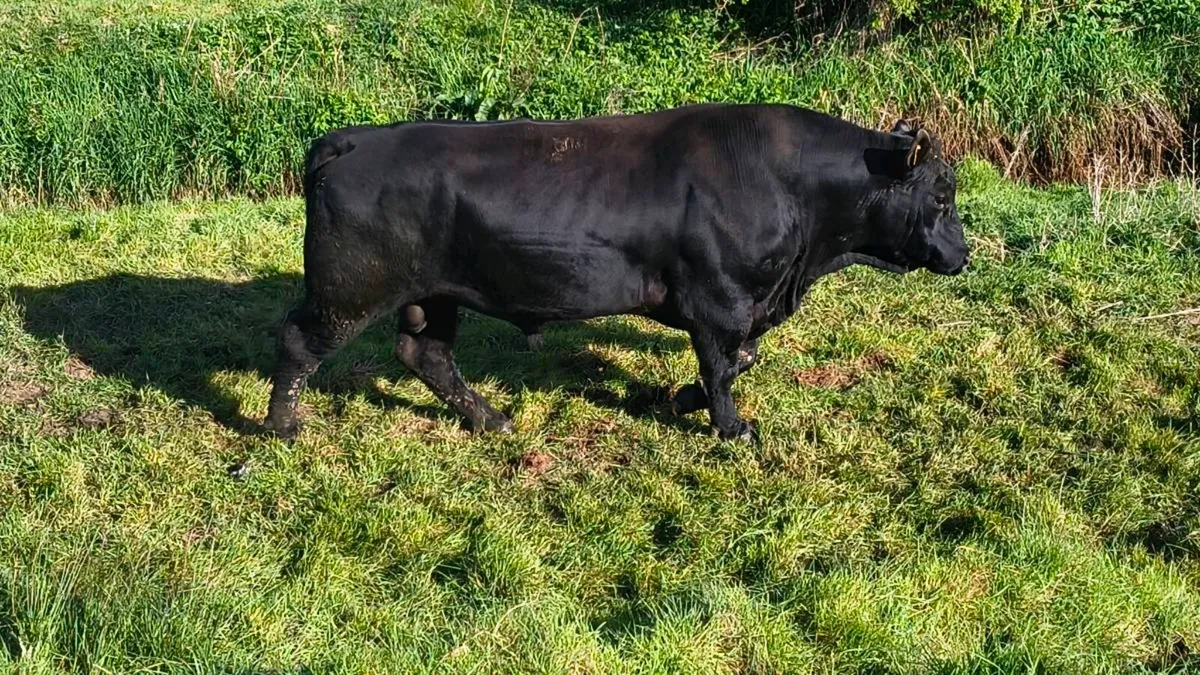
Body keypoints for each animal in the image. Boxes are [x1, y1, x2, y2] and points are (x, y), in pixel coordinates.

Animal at [264, 104, 968, 442]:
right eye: (941, 196)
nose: (963, 256)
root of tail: (351, 140)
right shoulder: (719, 301)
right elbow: (725, 367)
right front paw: (731, 428)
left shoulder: (737, 306)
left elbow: (737, 360)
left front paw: (675, 398)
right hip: (348, 289)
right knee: (298, 342)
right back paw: (282, 429)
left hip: (434, 293)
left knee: (425, 353)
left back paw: (491, 420)